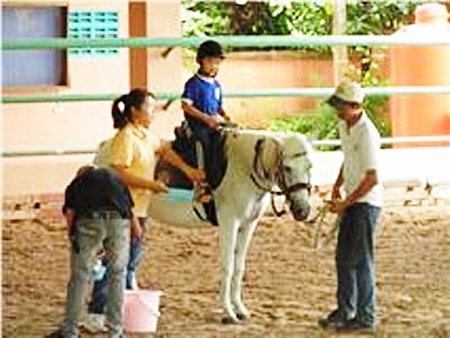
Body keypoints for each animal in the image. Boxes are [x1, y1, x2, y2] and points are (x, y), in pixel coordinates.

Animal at [96, 129, 312, 322]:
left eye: (310, 167)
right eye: (287, 168)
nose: (302, 210)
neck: (243, 170)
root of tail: (103, 151)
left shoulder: (248, 224)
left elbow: (239, 267)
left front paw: (240, 309)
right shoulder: (229, 222)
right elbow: (228, 266)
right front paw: (228, 313)